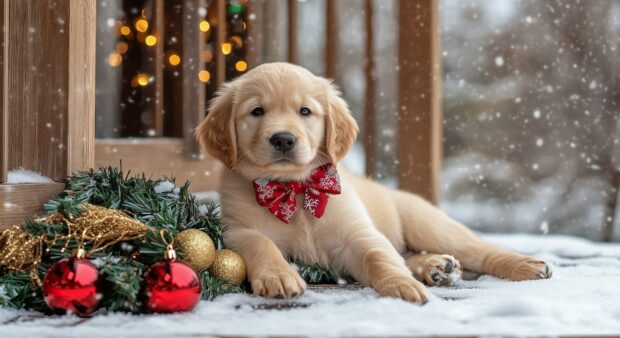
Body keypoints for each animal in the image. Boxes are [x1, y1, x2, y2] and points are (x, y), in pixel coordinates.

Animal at [196, 62, 548, 302]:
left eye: (305, 111)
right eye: (257, 111)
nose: (283, 139)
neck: (294, 189)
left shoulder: (357, 234)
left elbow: (378, 256)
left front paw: (400, 284)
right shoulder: (237, 230)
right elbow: (262, 244)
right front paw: (279, 276)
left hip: (429, 224)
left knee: (478, 249)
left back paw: (525, 264)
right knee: (411, 254)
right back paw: (437, 266)